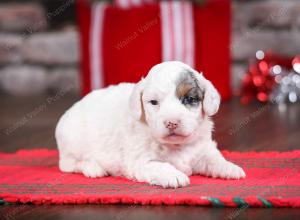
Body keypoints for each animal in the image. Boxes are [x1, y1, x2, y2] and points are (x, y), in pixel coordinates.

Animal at [55, 61, 245, 188]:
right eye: (153, 102)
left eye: (189, 99)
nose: (171, 122)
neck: (176, 146)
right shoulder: (139, 161)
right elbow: (159, 165)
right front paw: (175, 175)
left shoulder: (202, 149)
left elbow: (213, 159)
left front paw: (230, 168)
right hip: (71, 144)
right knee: (69, 164)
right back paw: (93, 168)